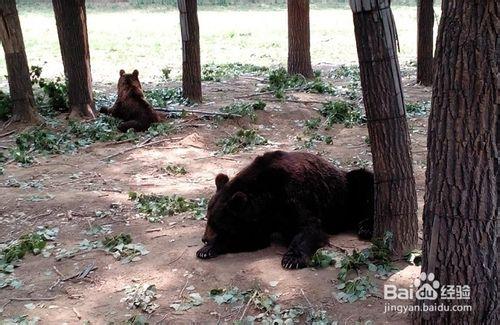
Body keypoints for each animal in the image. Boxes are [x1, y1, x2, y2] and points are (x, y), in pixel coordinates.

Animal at [197, 150, 374, 268]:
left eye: (217, 223)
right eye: (208, 219)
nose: (204, 238)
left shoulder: (295, 195)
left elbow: (308, 228)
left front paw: (292, 259)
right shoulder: (262, 218)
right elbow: (252, 238)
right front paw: (206, 250)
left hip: (346, 194)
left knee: (365, 184)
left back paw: (365, 228)